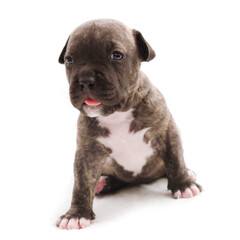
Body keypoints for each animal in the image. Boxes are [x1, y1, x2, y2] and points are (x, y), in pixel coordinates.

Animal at [55, 19, 201, 230]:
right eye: (69, 60)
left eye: (117, 55)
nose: (85, 80)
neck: (116, 113)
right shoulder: (87, 152)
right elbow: (82, 182)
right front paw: (76, 214)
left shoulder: (166, 131)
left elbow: (175, 159)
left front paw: (183, 185)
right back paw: (103, 183)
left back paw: (188, 174)